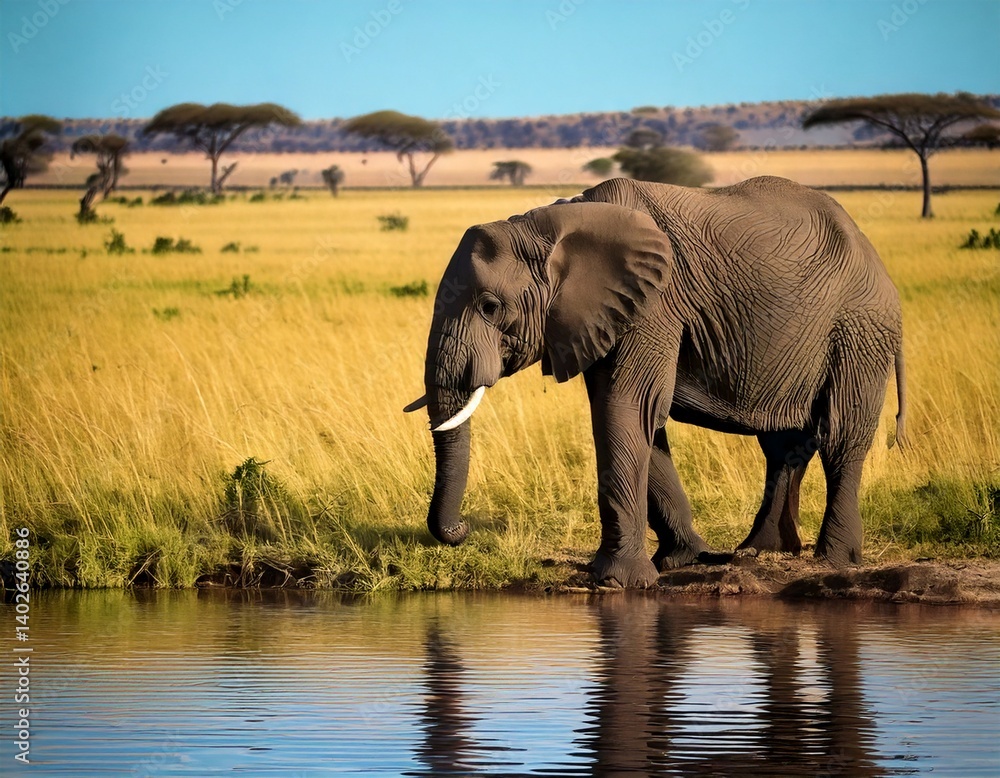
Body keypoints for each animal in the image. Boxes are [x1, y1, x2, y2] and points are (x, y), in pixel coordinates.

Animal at [405, 176, 906, 587]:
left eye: (490, 306)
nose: (463, 529)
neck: (550, 223)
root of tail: (876, 258)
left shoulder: (654, 305)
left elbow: (625, 409)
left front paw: (617, 582)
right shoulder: (602, 314)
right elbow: (635, 418)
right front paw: (683, 560)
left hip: (860, 330)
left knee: (841, 437)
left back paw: (834, 560)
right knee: (784, 445)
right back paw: (758, 552)